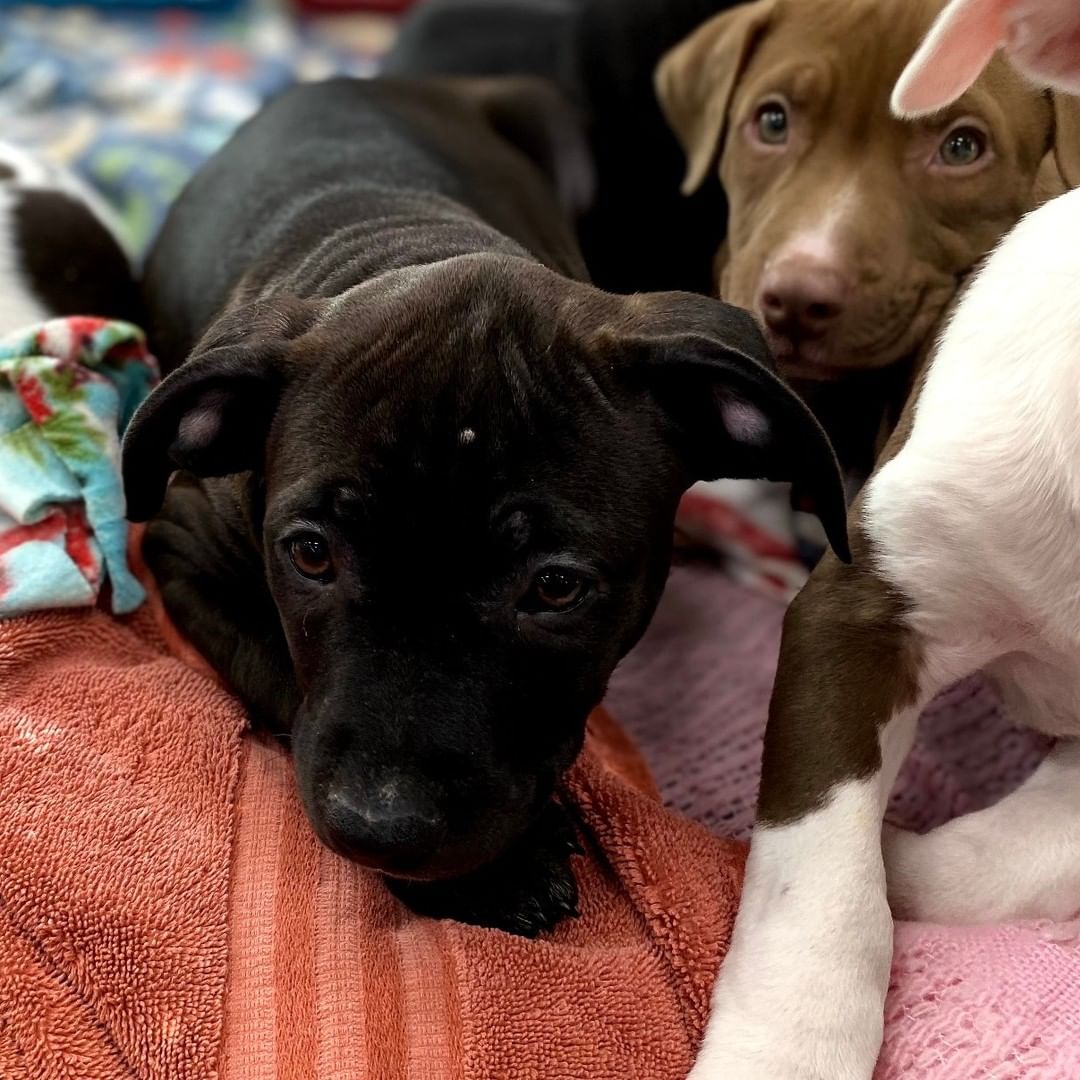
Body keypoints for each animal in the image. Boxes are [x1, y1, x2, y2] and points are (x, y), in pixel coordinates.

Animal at [126, 76, 846, 937]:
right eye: (310, 553)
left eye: (556, 586)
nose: (381, 827)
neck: (409, 237)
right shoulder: (183, 548)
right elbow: (275, 667)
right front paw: (500, 873)